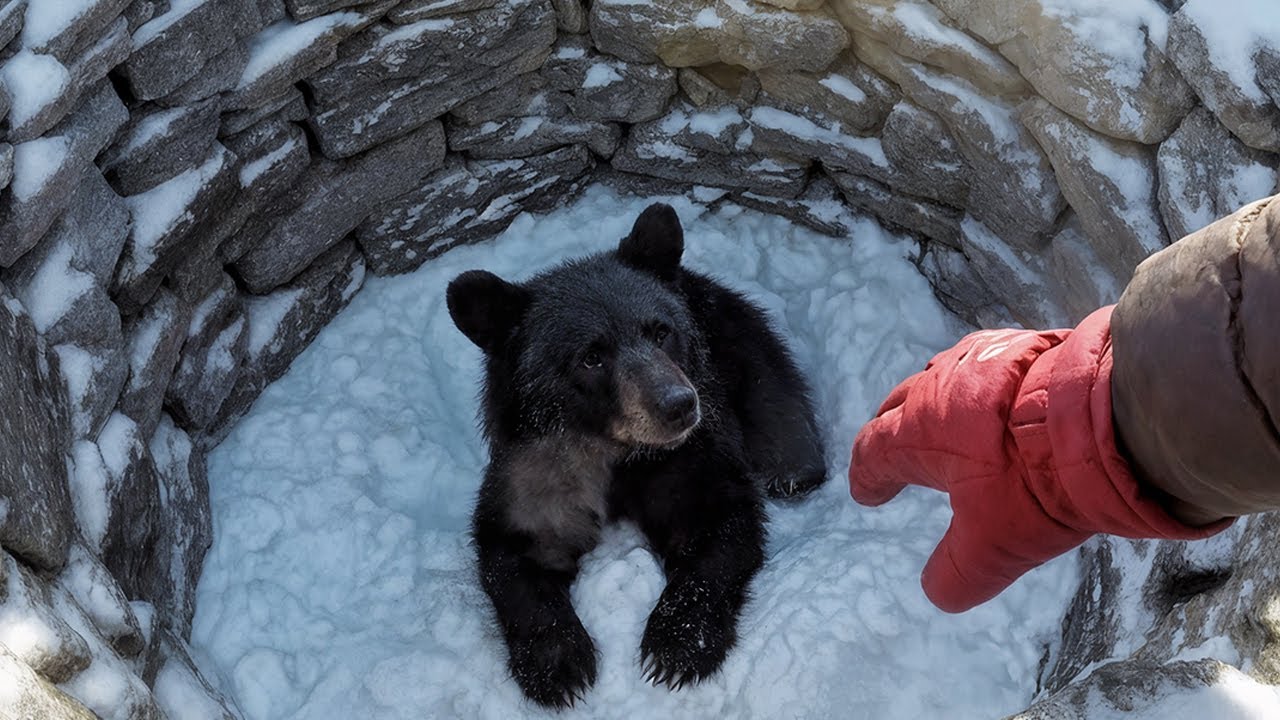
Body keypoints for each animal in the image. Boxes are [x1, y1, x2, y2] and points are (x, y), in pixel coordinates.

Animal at [446, 202, 827, 709]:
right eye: (591, 356)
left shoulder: (686, 458)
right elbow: (517, 549)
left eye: (660, 331)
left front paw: (676, 646)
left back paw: (794, 470)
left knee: (779, 412)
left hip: (743, 346)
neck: (618, 451)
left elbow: (717, 525)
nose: (678, 404)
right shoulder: (537, 468)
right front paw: (559, 667)